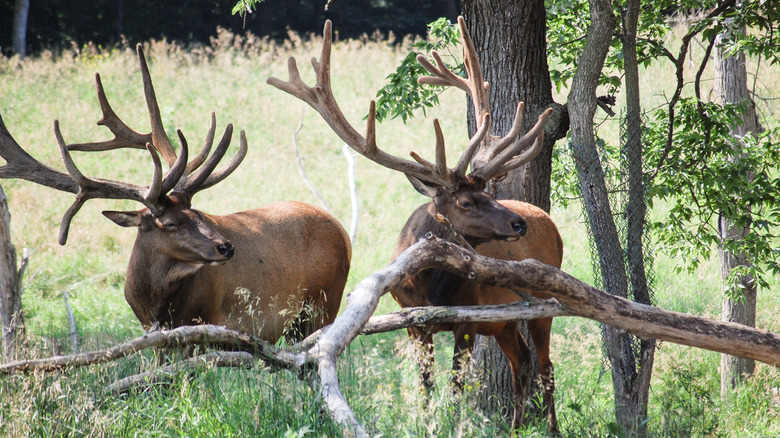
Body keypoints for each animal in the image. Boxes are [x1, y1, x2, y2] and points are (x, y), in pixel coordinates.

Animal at [0, 45, 350, 346]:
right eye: (168, 223)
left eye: (197, 214)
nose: (226, 247)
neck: (154, 305)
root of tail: (343, 231)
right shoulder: (153, 334)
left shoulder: (207, 322)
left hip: (323, 303)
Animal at [268, 17, 560, 432]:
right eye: (467, 201)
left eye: (490, 192)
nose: (519, 224)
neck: (430, 289)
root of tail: (551, 223)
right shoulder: (412, 322)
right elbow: (426, 386)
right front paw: (427, 422)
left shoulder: (469, 319)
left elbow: (455, 387)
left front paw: (452, 424)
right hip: (505, 322)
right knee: (522, 360)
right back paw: (518, 426)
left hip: (544, 304)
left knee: (546, 367)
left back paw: (551, 427)